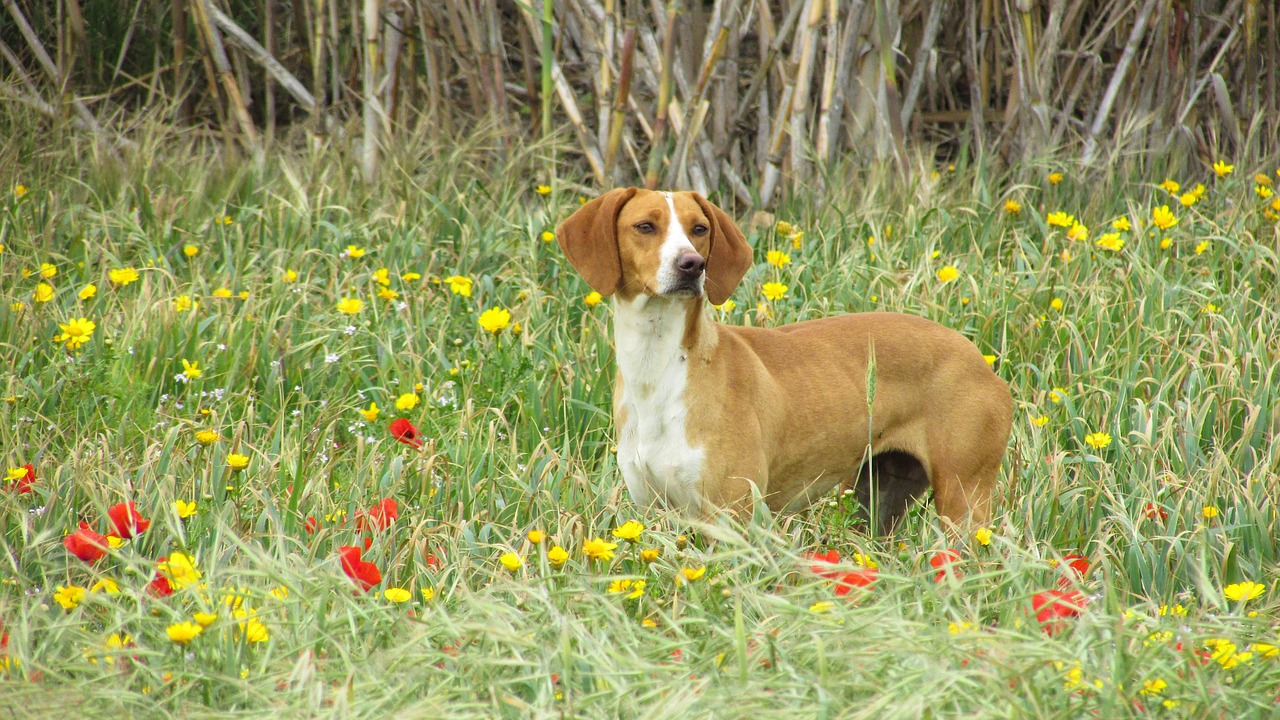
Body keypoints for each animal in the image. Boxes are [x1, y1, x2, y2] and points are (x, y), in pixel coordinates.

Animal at [555, 185, 1013, 532]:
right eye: (645, 226)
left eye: (699, 229)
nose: (692, 265)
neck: (660, 368)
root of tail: (980, 359)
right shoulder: (656, 515)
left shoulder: (733, 517)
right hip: (879, 499)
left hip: (963, 501)